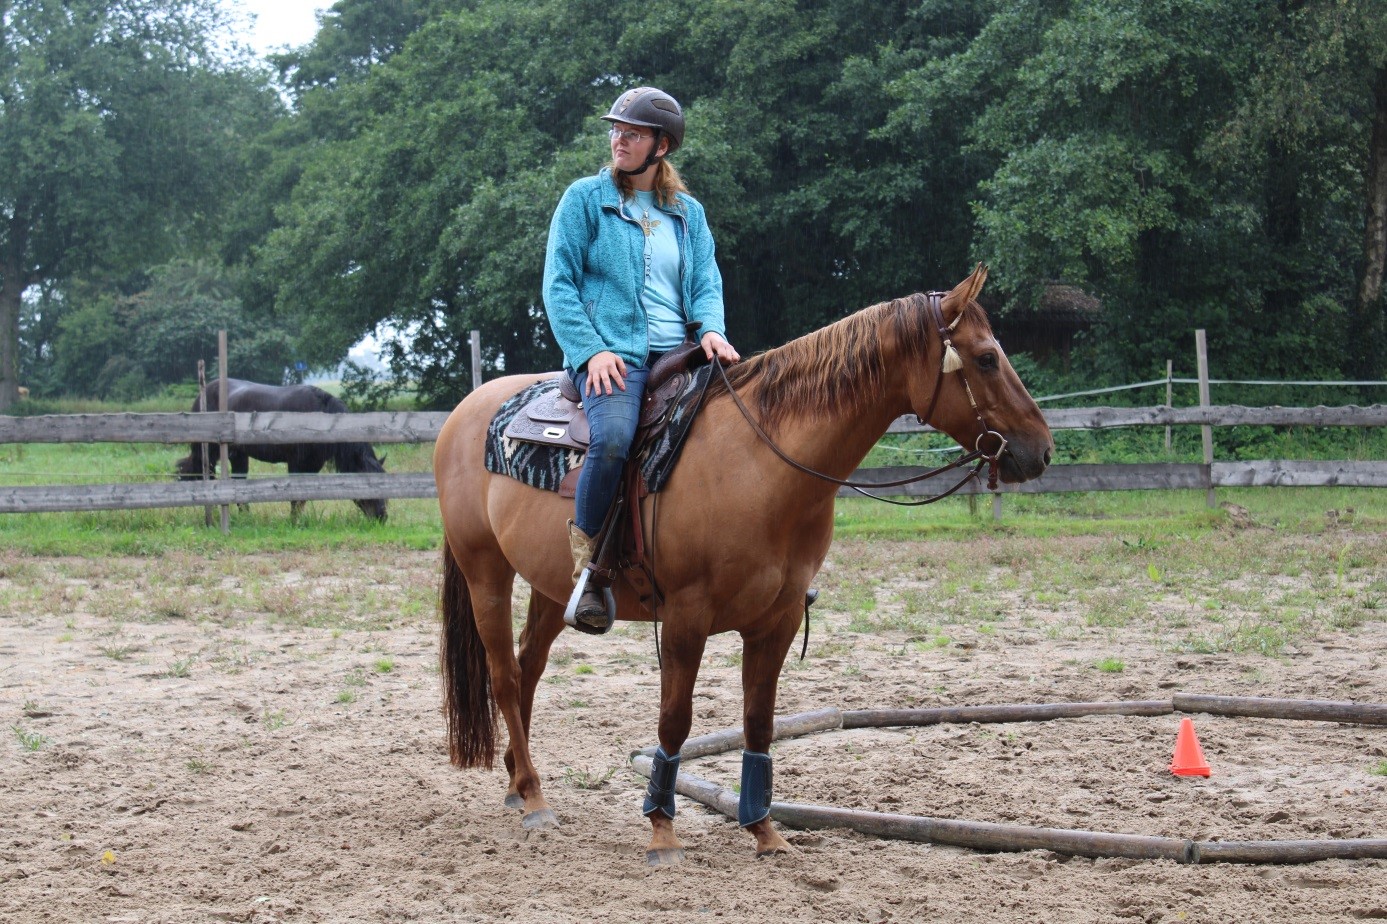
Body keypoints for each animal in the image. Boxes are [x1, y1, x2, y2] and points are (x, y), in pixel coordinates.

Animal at [176, 377, 391, 518]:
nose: (381, 516)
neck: (320, 421)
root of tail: (204, 391)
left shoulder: (313, 465)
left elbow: (302, 498)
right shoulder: (295, 462)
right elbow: (295, 496)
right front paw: (294, 521)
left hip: (238, 455)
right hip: (209, 452)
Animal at [432, 266, 1048, 865]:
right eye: (986, 358)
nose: (1040, 450)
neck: (762, 463)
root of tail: (465, 411)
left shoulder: (777, 619)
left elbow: (759, 721)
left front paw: (764, 831)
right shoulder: (687, 617)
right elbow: (675, 719)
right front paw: (662, 830)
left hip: (551, 587)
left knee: (529, 668)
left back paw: (517, 782)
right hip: (485, 572)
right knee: (505, 676)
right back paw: (535, 798)